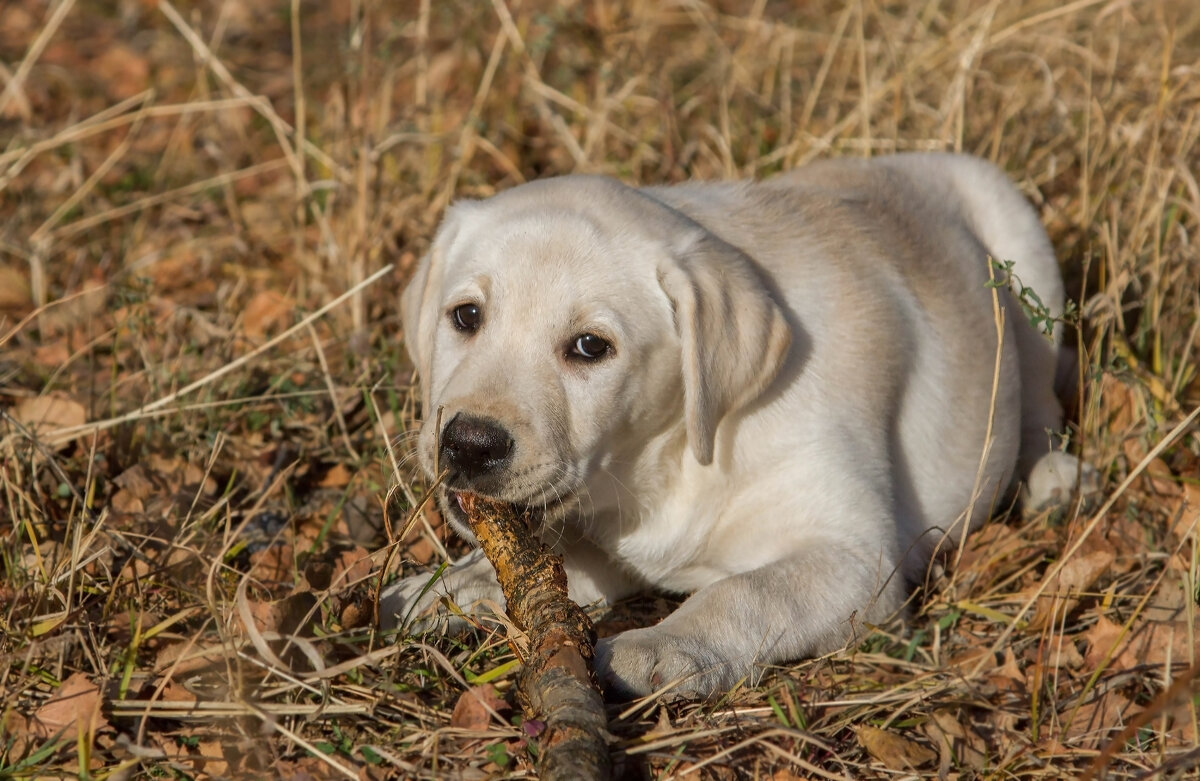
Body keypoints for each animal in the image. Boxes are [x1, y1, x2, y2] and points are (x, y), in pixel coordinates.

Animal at [386, 151, 1099, 695]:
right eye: (466, 316)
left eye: (591, 347)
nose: (468, 444)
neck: (667, 457)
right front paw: (442, 589)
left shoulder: (856, 560)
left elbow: (747, 592)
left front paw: (663, 647)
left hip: (1027, 259)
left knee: (1040, 400)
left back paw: (1058, 479)